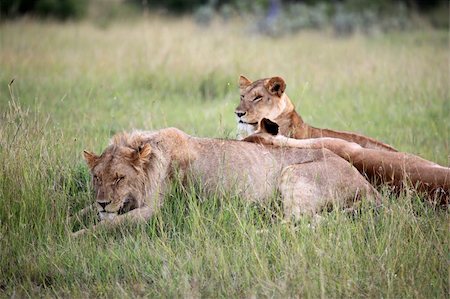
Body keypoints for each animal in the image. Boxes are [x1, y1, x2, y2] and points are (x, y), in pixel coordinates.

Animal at [74, 128, 380, 237]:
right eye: (97, 177)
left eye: (119, 177)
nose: (103, 202)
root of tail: (368, 187)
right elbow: (81, 213)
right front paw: (67, 225)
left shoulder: (153, 211)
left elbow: (109, 225)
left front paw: (75, 239)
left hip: (293, 174)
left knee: (300, 222)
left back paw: (255, 230)